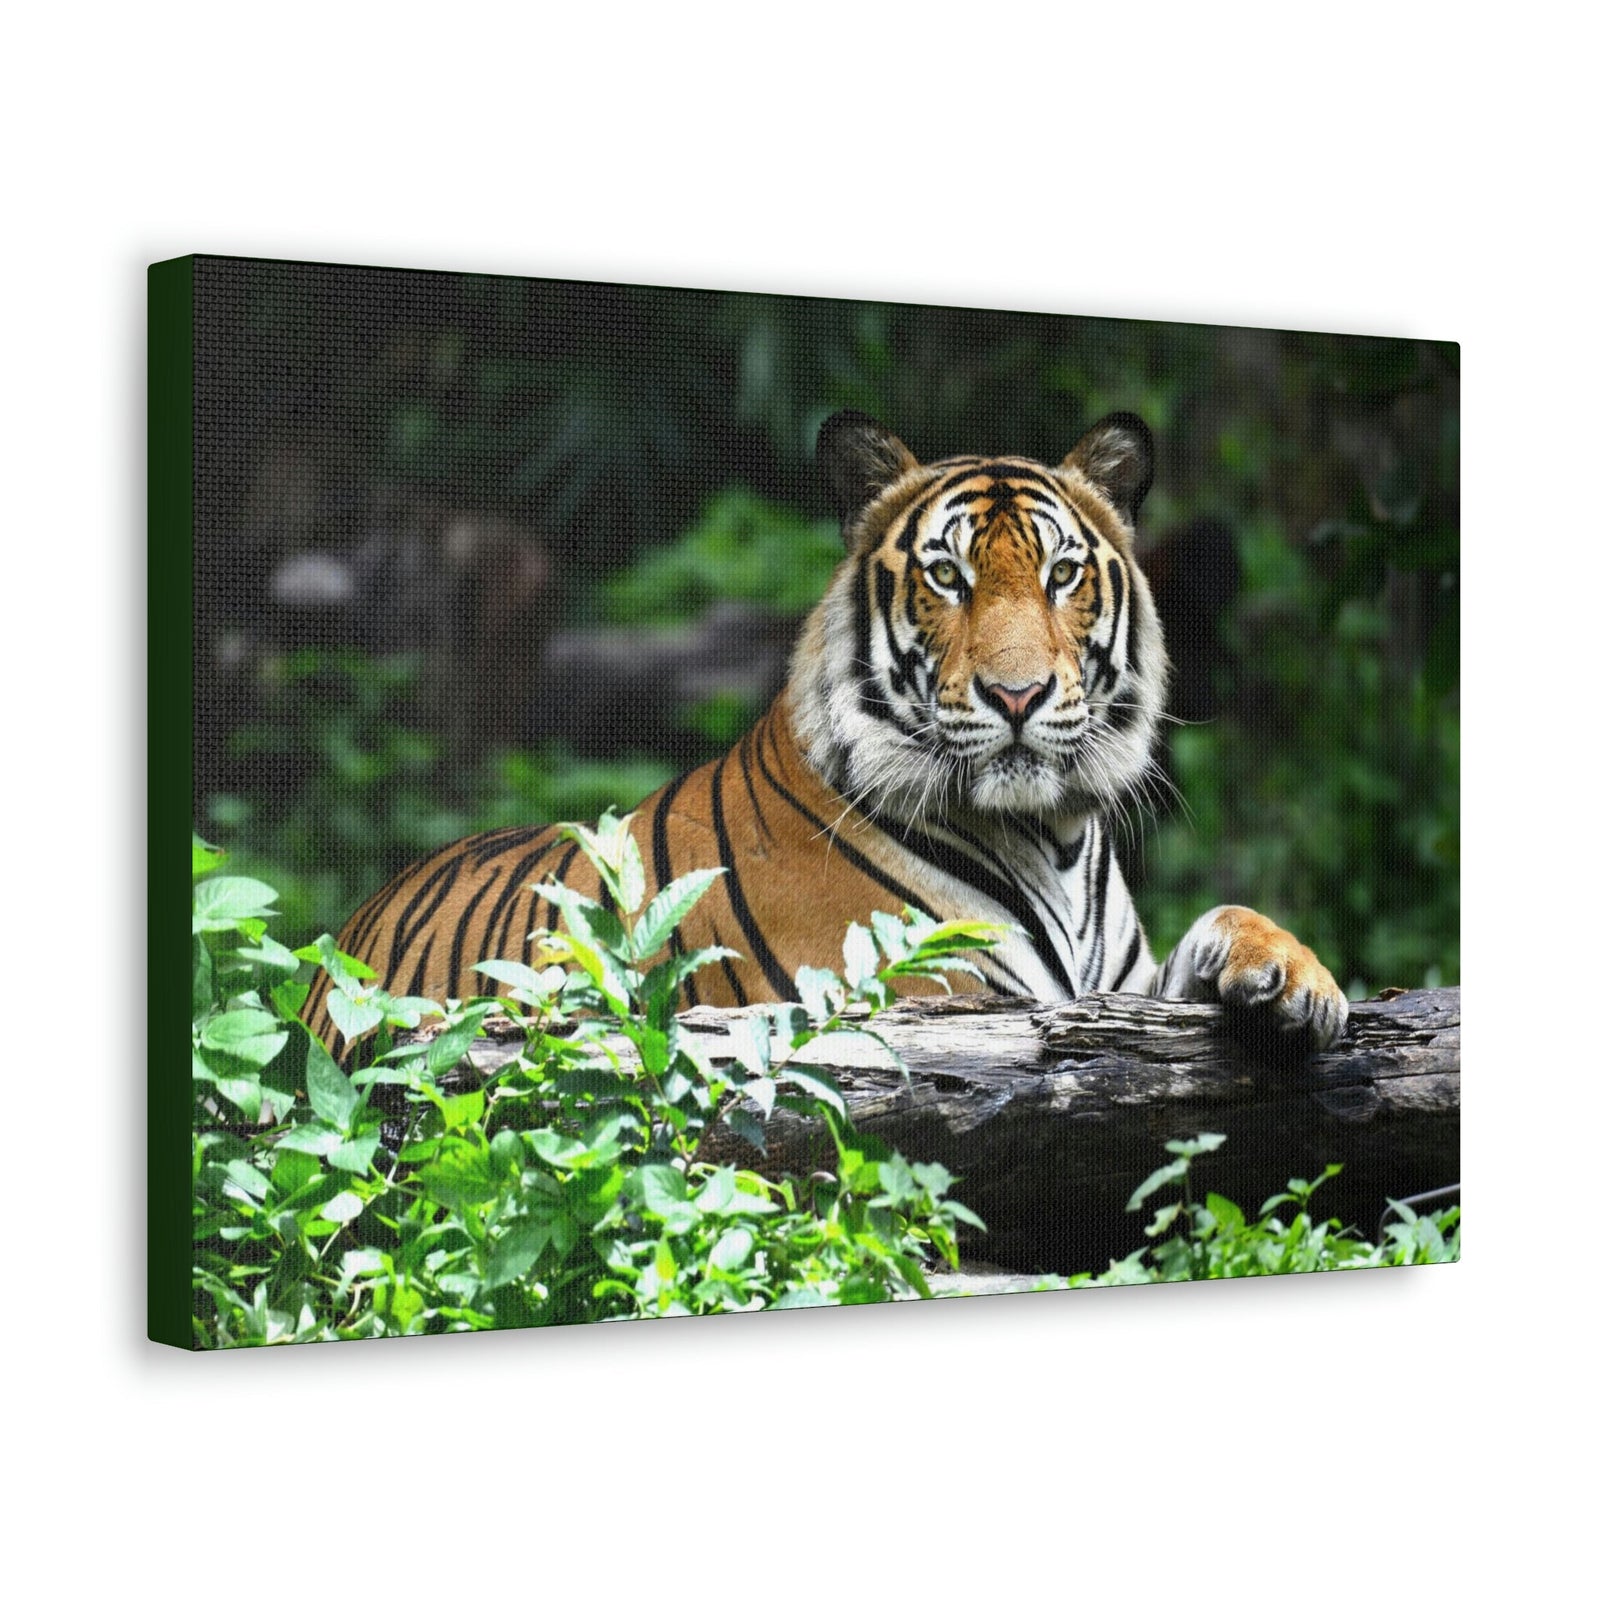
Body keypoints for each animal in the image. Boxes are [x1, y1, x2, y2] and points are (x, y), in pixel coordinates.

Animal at [305, 409, 1348, 1053]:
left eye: (1061, 575)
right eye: (948, 577)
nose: (1016, 696)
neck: (1052, 837)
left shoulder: (1118, 994)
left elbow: (1224, 919)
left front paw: (1297, 981)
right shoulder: (924, 998)